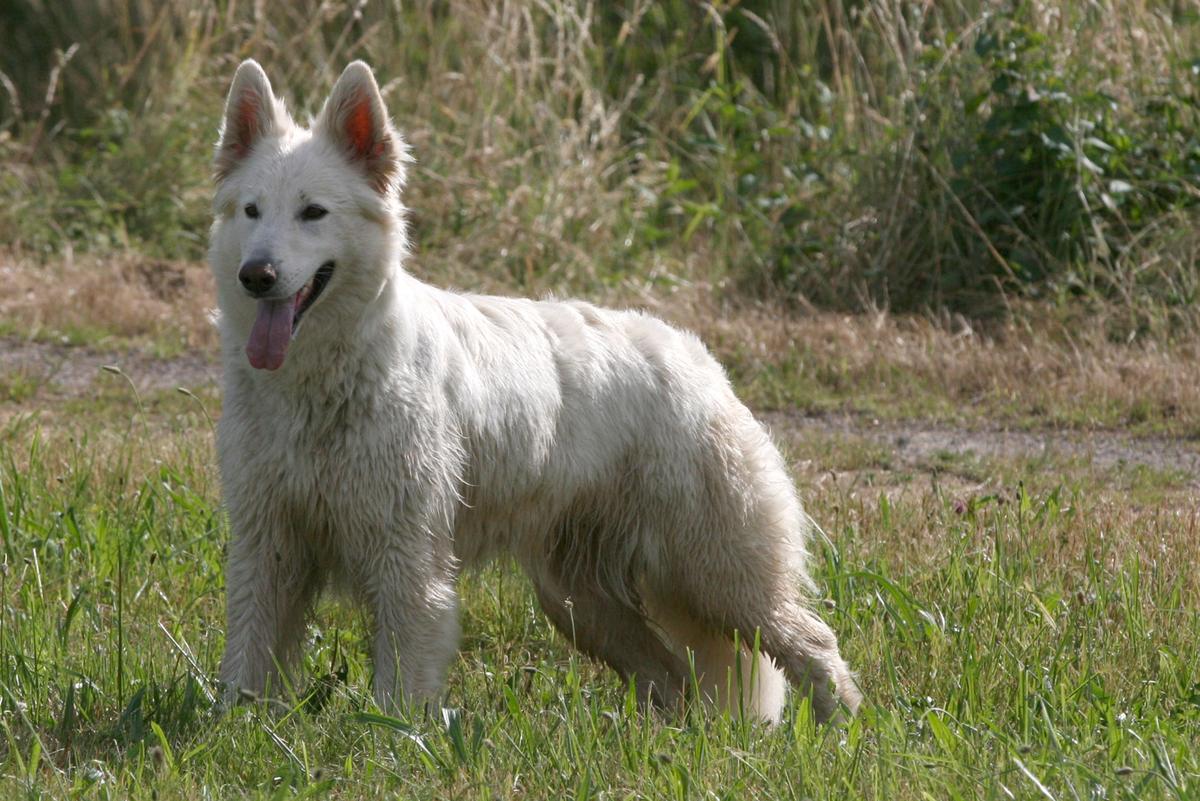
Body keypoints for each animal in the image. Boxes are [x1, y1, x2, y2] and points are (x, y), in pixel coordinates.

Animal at [208, 59, 864, 724]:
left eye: (313, 213)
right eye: (252, 211)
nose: (256, 275)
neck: (319, 385)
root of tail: (695, 355)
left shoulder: (406, 558)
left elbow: (401, 682)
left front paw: (395, 735)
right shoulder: (267, 547)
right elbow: (247, 658)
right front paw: (235, 727)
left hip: (718, 576)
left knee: (813, 643)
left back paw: (843, 730)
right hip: (582, 604)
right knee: (672, 678)